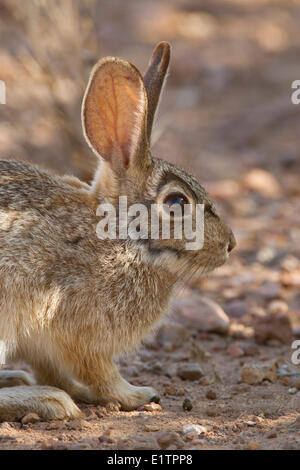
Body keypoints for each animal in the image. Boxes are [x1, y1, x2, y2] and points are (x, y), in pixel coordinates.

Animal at [0, 42, 234, 420]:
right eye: (177, 202)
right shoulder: (77, 330)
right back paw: (47, 401)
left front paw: (79, 391)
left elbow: (53, 369)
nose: (231, 244)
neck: (122, 238)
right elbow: (100, 372)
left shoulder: (43, 344)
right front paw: (135, 394)